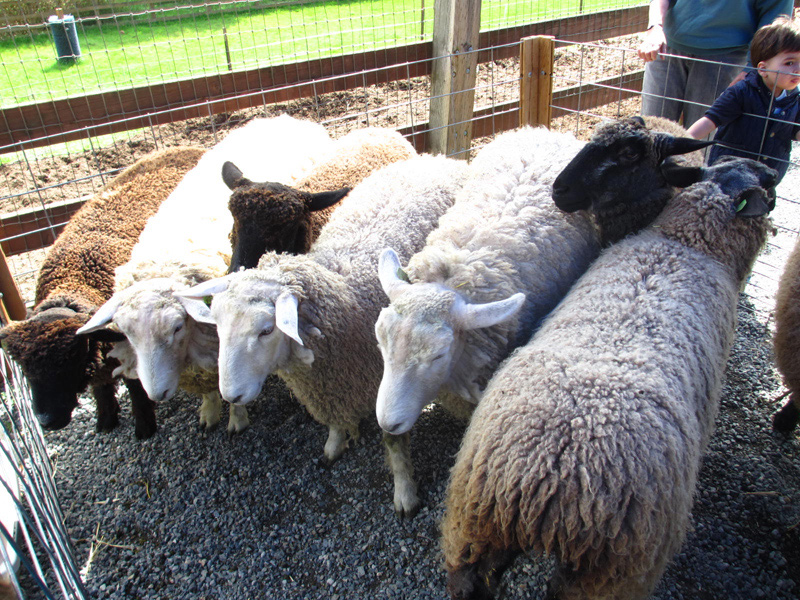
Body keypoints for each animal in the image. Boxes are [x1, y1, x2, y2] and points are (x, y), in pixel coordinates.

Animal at [0, 146, 205, 438]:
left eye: (68, 358)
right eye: (21, 366)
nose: (47, 421)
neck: (75, 282)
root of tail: (184, 147)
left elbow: (135, 388)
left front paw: (144, 427)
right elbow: (100, 387)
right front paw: (105, 420)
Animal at [77, 115, 333, 435]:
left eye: (177, 328)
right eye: (232, 224)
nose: (156, 393)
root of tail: (283, 116)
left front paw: (236, 418)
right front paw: (209, 412)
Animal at [175, 154, 468, 515]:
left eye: (267, 329)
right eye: (218, 325)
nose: (231, 395)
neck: (343, 294)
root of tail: (436, 157)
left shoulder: (396, 385)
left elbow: (394, 441)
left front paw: (404, 493)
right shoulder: (330, 385)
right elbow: (334, 423)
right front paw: (334, 444)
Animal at [442, 155, 776, 600]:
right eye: (767, 185)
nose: (774, 176)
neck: (688, 243)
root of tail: (552, 475)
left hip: (476, 523)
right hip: (610, 570)